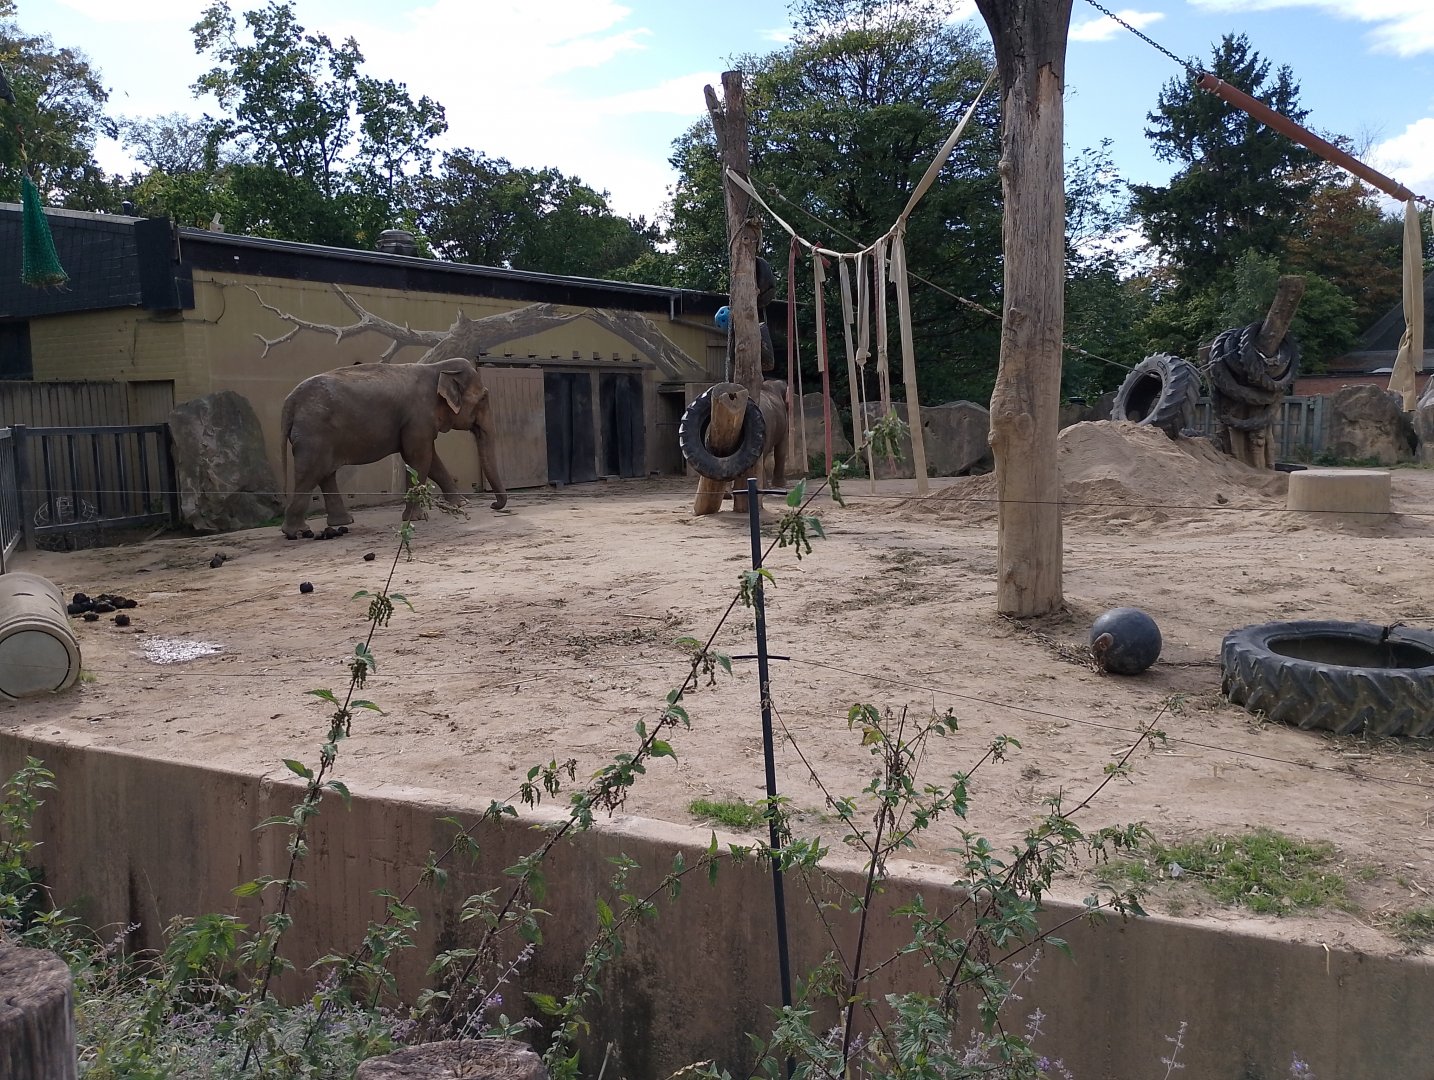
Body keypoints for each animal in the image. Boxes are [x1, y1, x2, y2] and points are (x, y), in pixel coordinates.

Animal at [279, 358, 506, 539]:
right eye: (483, 398)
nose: (493, 505)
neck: (437, 369)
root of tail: (289, 402)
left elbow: (430, 458)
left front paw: (461, 504)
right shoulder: (418, 416)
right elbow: (418, 458)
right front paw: (417, 518)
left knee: (325, 473)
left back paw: (342, 522)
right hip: (313, 434)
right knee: (311, 474)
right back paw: (297, 531)